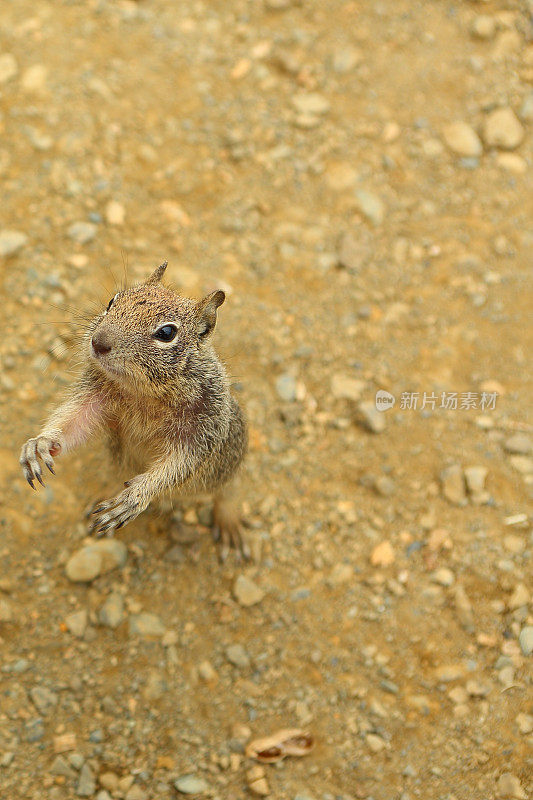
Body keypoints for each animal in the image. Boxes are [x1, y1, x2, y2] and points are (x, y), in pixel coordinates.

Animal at [18, 260, 247, 556]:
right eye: (112, 301)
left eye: (167, 332)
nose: (98, 342)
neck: (144, 393)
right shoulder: (96, 397)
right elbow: (74, 423)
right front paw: (40, 444)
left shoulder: (203, 428)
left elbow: (177, 466)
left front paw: (135, 497)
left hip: (230, 466)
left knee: (227, 493)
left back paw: (229, 523)